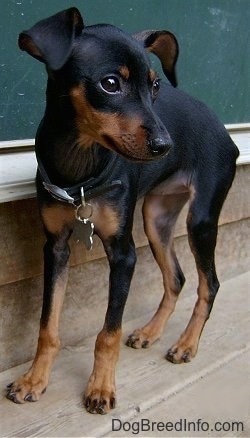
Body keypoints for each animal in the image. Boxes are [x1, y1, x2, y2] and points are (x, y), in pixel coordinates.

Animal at [6, 7, 239, 414]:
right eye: (110, 84)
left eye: (156, 87)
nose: (165, 145)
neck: (80, 168)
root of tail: (228, 135)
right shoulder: (55, 247)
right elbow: (48, 325)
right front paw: (34, 379)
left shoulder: (123, 254)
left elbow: (107, 333)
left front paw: (100, 387)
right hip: (156, 218)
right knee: (176, 277)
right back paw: (150, 332)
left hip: (201, 219)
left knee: (209, 283)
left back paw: (186, 344)